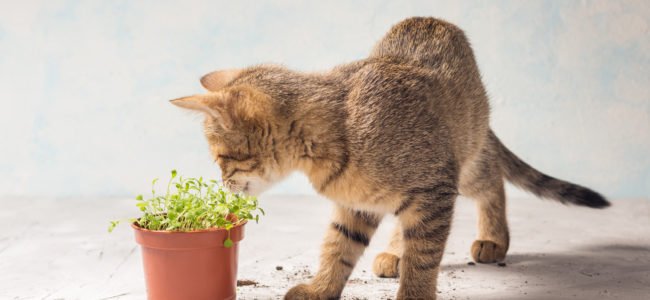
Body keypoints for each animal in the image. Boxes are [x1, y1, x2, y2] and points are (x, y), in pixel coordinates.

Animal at [170, 17, 604, 300]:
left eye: (221, 158)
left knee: (492, 178)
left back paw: (493, 238)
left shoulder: (435, 185)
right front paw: (321, 288)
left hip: (464, 160)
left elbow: (424, 257)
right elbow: (337, 248)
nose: (223, 183)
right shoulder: (354, 205)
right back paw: (395, 251)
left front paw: (413, 295)